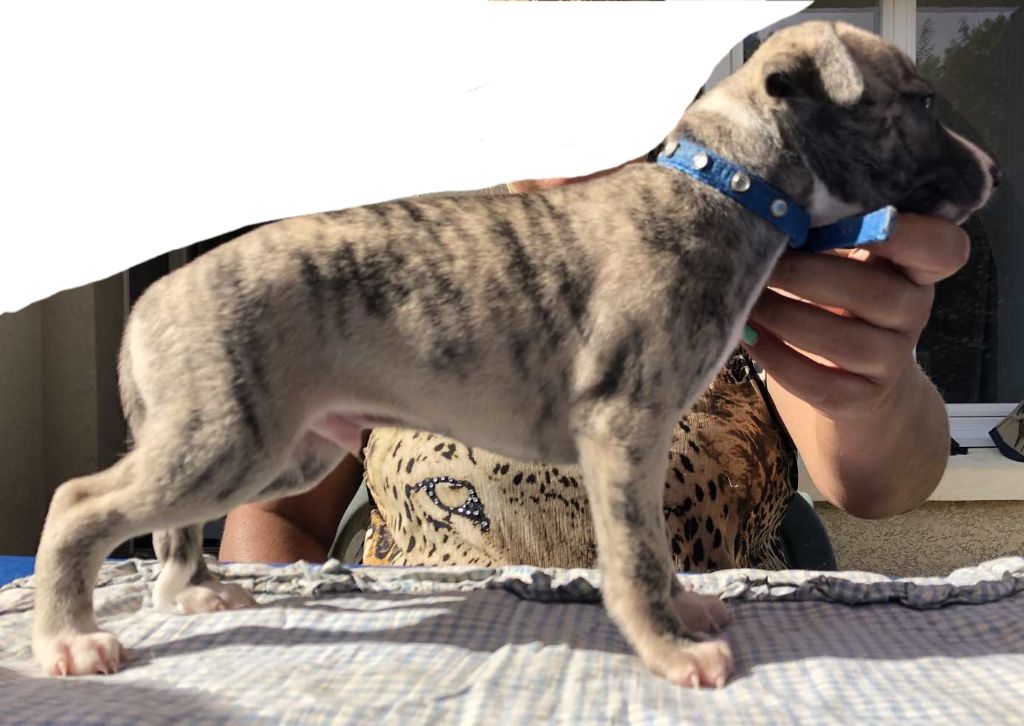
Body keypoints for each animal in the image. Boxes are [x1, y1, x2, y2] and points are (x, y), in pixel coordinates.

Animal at [32, 20, 996, 687]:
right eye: (921, 103)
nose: (990, 173)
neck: (727, 186)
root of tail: (154, 299)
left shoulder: (640, 447)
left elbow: (655, 552)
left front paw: (683, 611)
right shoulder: (622, 432)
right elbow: (635, 557)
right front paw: (668, 651)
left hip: (273, 448)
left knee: (168, 527)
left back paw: (194, 594)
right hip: (230, 437)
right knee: (80, 503)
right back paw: (68, 639)